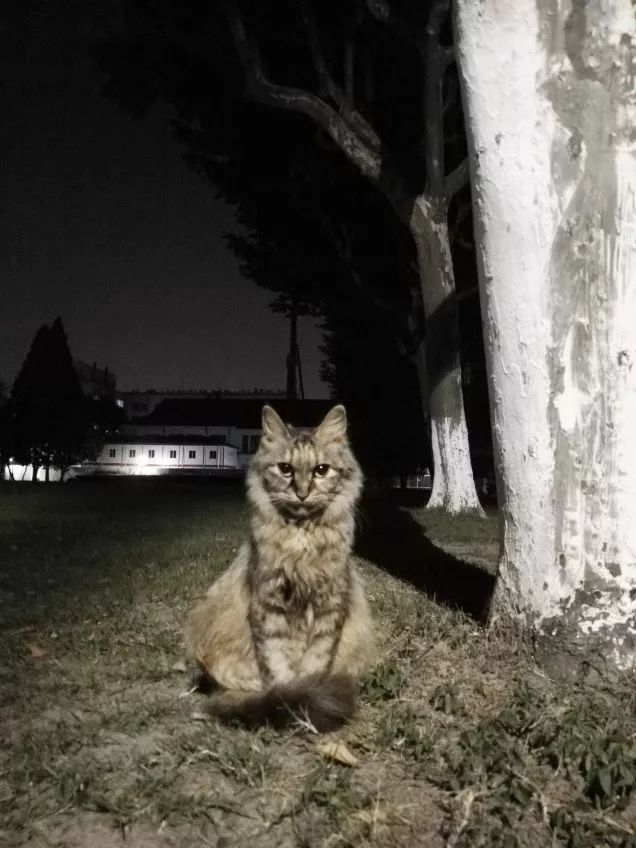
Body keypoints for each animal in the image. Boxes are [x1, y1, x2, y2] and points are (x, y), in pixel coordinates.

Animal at [183, 402, 372, 728]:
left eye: (321, 470)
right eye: (285, 469)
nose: (302, 492)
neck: (302, 538)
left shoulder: (330, 605)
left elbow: (315, 662)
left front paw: (303, 701)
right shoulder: (267, 603)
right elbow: (278, 665)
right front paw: (287, 700)